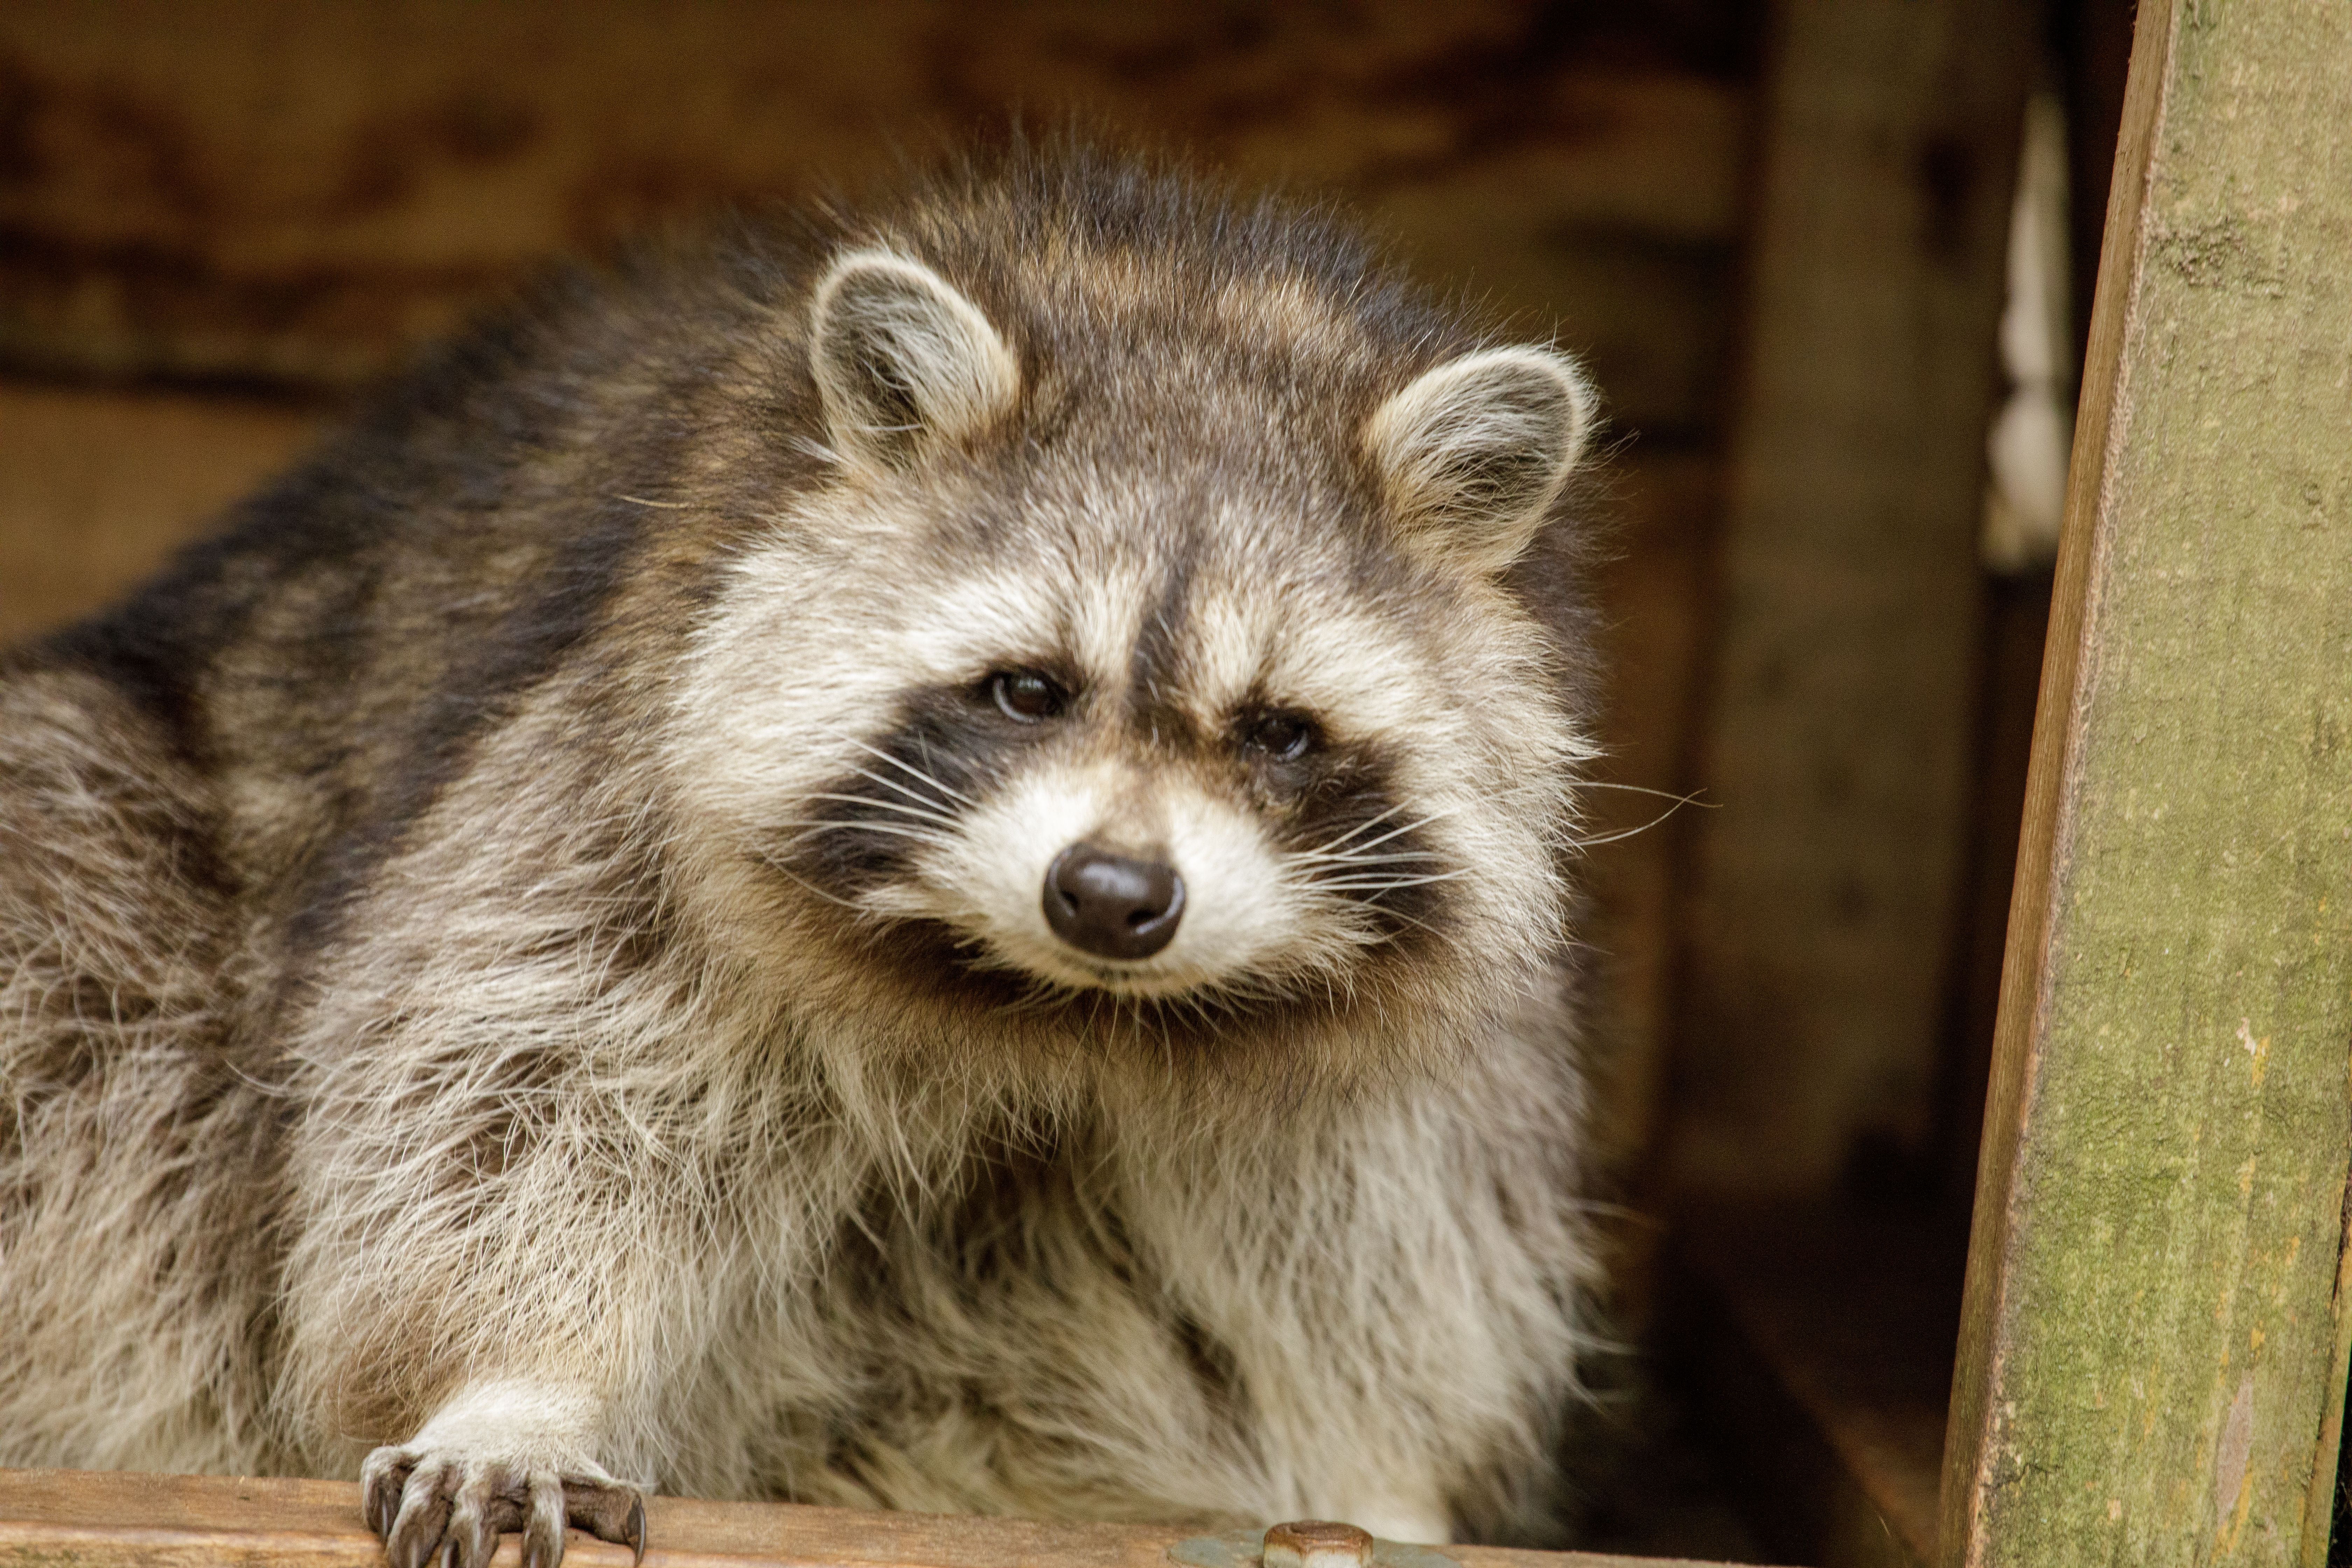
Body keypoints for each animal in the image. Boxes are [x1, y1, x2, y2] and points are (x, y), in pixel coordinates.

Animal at [0, 148, 1605, 1567]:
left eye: (1276, 730)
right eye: (1028, 689)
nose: (1110, 897)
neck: (1056, 1008)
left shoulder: (1414, 1055)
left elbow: (1377, 1244)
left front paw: (1377, 1472)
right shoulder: (621, 768)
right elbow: (516, 1090)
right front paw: (514, 1386)